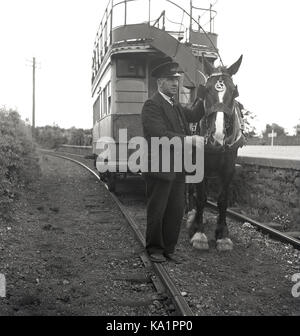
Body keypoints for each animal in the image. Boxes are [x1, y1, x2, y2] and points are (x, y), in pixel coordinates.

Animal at [186, 55, 247, 251]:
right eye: (206, 91)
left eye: (234, 93)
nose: (217, 136)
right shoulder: (199, 167)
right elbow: (201, 197)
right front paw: (198, 232)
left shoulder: (229, 169)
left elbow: (222, 200)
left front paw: (223, 234)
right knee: (189, 189)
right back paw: (189, 214)